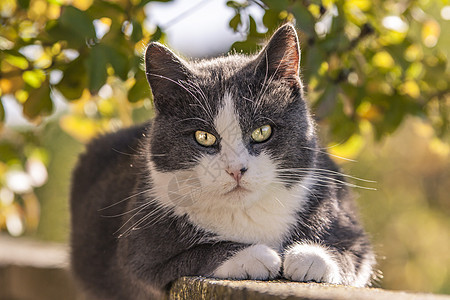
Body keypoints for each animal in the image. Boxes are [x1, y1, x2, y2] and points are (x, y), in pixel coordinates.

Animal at [70, 24, 376, 300]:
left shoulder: (343, 214)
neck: (246, 213)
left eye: (262, 131)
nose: (236, 170)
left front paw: (311, 258)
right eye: (203, 137)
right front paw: (254, 255)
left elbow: (355, 252)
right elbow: (187, 257)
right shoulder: (138, 251)